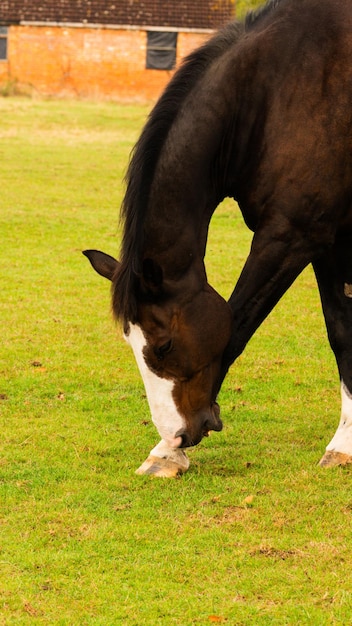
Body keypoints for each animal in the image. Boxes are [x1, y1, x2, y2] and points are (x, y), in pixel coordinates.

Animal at [83, 0, 352, 476]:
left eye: (164, 344)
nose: (177, 433)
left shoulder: (290, 236)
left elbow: (237, 325)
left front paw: (167, 453)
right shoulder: (327, 242)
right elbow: (341, 332)